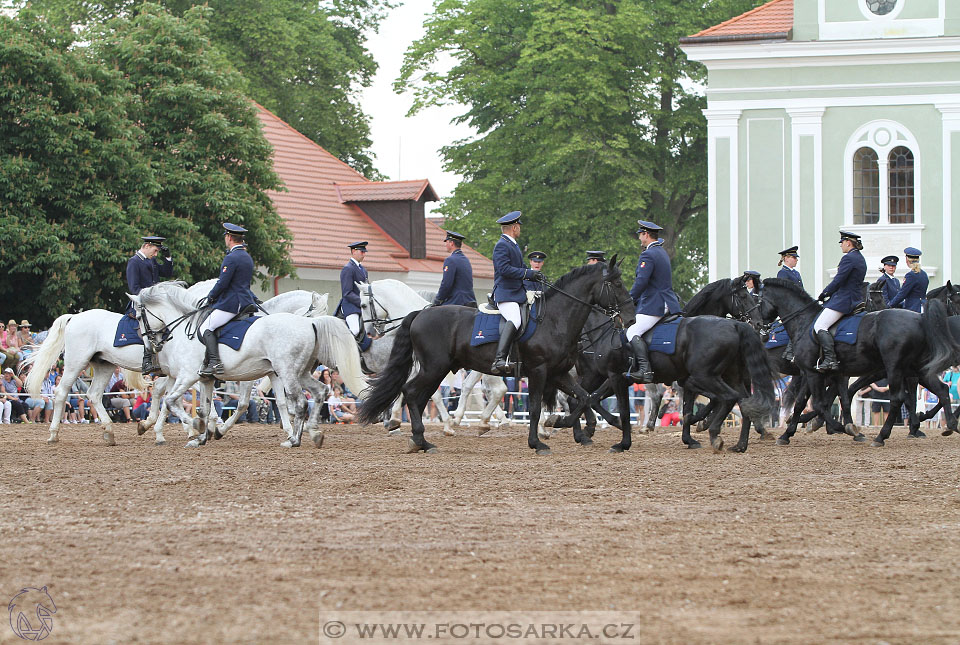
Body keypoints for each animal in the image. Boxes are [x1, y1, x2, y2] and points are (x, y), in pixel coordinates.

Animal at [131, 282, 364, 448]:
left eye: (139, 317)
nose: (149, 343)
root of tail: (309, 325)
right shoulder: (206, 378)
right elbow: (204, 407)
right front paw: (202, 435)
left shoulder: (190, 375)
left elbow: (177, 402)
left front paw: (203, 428)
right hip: (299, 373)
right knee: (319, 392)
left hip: (289, 372)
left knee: (302, 401)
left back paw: (295, 440)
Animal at [356, 258, 632, 452]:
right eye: (617, 284)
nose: (629, 318)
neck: (555, 319)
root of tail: (421, 314)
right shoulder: (539, 371)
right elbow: (535, 407)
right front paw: (538, 442)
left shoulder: (559, 373)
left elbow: (585, 397)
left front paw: (568, 424)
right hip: (434, 368)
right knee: (413, 393)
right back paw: (423, 437)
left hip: (436, 369)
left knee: (417, 395)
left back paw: (422, 440)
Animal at [744, 280, 960, 446]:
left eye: (755, 300)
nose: (756, 324)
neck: (805, 323)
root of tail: (921, 319)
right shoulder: (825, 373)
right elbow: (827, 401)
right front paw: (791, 432)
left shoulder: (817, 373)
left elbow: (822, 402)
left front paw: (842, 428)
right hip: (912, 369)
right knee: (940, 390)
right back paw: (949, 425)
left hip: (898, 369)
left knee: (903, 397)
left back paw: (883, 436)